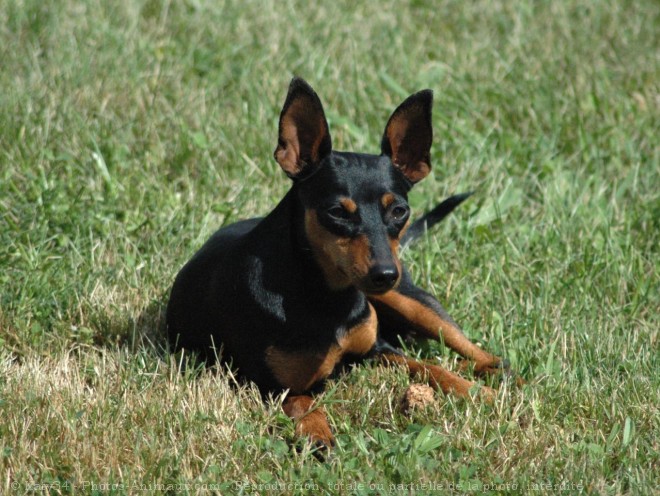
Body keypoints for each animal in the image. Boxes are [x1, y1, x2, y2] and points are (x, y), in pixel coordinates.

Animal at [168, 78, 508, 450]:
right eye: (337, 212)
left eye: (399, 211)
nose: (385, 274)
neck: (325, 293)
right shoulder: (273, 386)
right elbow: (304, 402)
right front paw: (318, 432)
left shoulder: (378, 348)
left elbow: (430, 367)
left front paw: (475, 392)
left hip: (410, 300)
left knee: (470, 347)